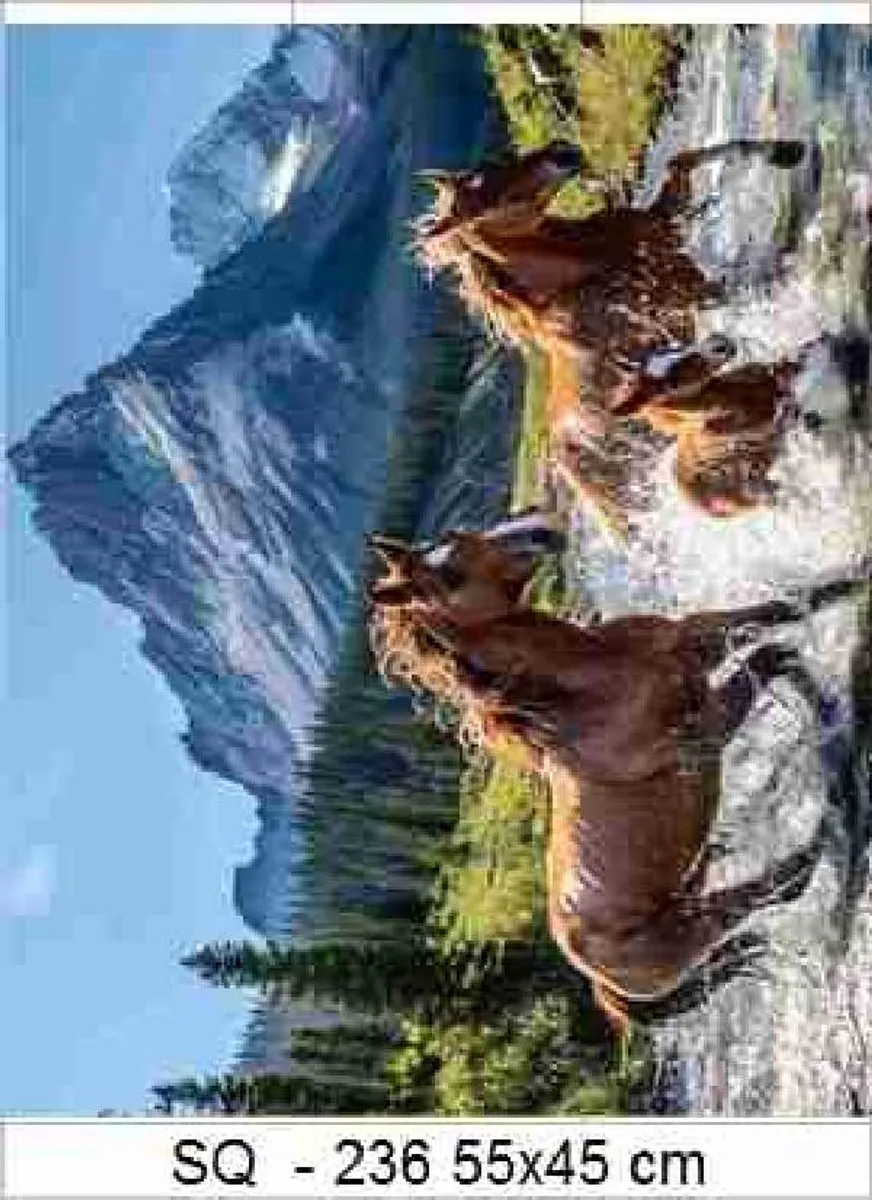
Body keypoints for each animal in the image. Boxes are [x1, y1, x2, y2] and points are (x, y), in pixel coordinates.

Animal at [366, 510, 859, 1032]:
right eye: (450, 577)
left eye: (455, 536)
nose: (539, 529)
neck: (588, 686)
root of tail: (599, 982)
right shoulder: (709, 727)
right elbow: (779, 656)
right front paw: (835, 727)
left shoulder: (698, 641)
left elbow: (785, 612)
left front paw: (852, 580)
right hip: (693, 927)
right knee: (783, 885)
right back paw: (833, 841)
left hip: (687, 900)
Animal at [416, 138, 808, 531]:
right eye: (499, 203)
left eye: (495, 164)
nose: (562, 151)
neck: (584, 269)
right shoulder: (693, 295)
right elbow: (753, 290)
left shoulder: (665, 234)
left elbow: (683, 159)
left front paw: (786, 152)